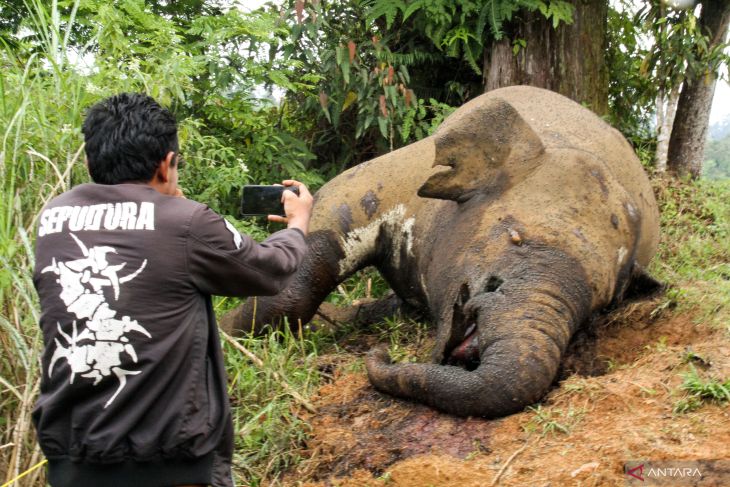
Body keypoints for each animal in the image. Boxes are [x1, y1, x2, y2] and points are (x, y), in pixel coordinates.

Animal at [222, 86, 660, 418]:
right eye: (513, 237)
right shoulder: (391, 177)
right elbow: (299, 279)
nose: (382, 354)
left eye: (598, 305)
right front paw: (227, 334)